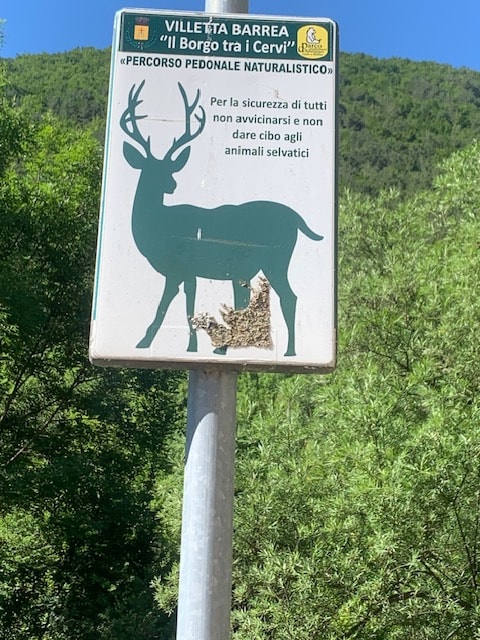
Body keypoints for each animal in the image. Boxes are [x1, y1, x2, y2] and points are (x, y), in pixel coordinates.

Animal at [120, 80, 324, 357]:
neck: (157, 229)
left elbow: (167, 306)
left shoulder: (179, 267)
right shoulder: (187, 272)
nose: (172, 185)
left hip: (277, 258)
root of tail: (297, 218)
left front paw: (147, 343)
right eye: (149, 170)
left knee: (289, 296)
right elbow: (186, 306)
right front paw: (188, 346)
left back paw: (288, 352)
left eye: (169, 169)